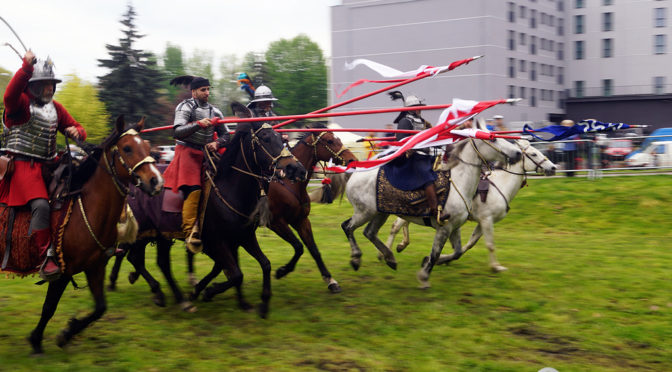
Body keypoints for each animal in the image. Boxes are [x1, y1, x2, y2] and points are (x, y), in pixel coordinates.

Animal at [0, 117, 163, 354]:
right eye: (127, 148)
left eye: (149, 148)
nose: (156, 181)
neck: (86, 207)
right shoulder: (63, 272)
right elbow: (49, 307)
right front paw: (36, 340)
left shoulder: (95, 267)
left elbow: (100, 308)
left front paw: (68, 333)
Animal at [342, 122, 520, 288]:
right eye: (493, 139)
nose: (517, 153)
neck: (459, 181)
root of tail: (353, 175)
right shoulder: (445, 228)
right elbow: (435, 254)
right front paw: (424, 277)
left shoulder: (455, 227)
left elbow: (457, 252)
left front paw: (430, 262)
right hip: (364, 212)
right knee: (348, 227)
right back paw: (356, 258)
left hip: (380, 213)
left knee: (369, 232)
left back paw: (390, 258)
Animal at [386, 138, 552, 272]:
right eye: (534, 154)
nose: (553, 168)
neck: (501, 185)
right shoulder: (486, 220)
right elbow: (490, 244)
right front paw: (496, 267)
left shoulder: (483, 222)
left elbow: (469, 244)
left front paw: (442, 259)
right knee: (396, 226)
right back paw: (388, 253)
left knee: (401, 224)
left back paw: (399, 246)